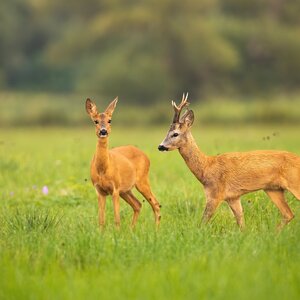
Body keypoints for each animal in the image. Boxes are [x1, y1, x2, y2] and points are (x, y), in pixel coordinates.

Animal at [86, 97, 161, 229]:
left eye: (110, 120)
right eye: (95, 121)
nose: (103, 131)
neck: (103, 169)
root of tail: (146, 156)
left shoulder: (115, 188)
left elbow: (117, 219)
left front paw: (117, 232)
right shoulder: (99, 190)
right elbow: (101, 220)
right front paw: (101, 233)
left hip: (141, 180)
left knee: (155, 204)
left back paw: (156, 230)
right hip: (126, 190)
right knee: (137, 204)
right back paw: (132, 229)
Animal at [158, 94, 298, 230]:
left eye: (175, 134)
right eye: (167, 132)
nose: (160, 146)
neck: (206, 168)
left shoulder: (215, 194)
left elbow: (202, 222)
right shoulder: (233, 197)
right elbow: (241, 223)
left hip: (293, 182)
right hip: (273, 189)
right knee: (288, 214)